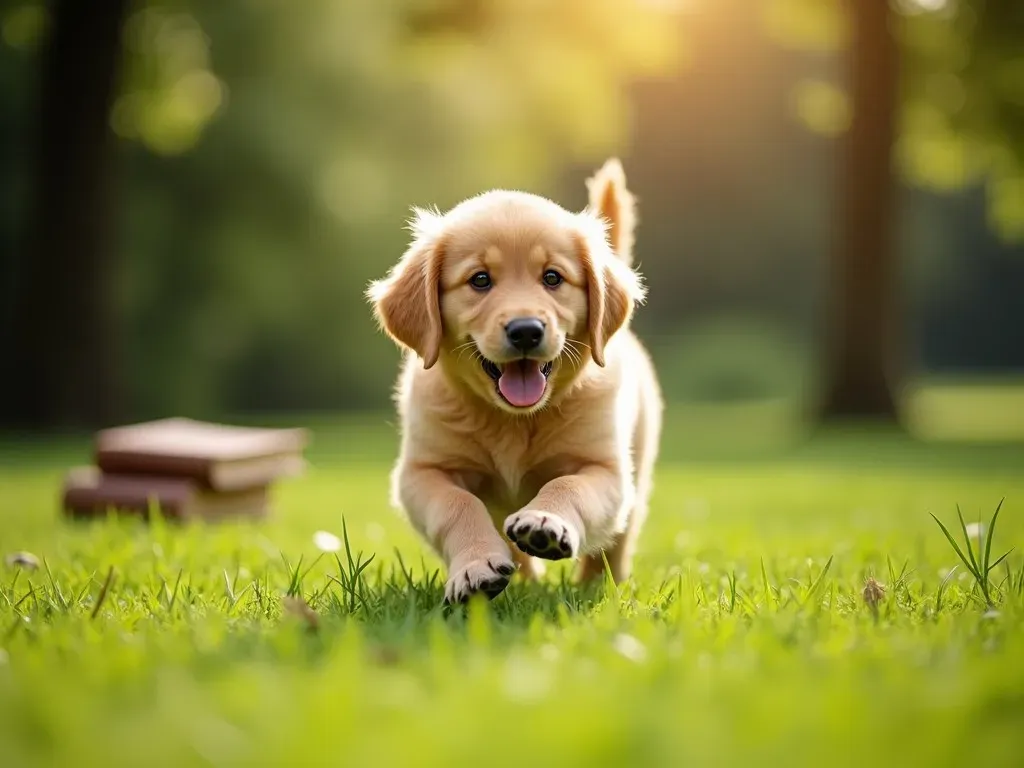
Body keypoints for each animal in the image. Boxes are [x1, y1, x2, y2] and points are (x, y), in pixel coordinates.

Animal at [368, 159, 663, 606]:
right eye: (480, 280)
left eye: (553, 278)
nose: (526, 331)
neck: (511, 419)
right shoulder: (423, 472)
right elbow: (458, 505)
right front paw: (475, 568)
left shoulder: (604, 467)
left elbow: (568, 484)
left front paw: (545, 521)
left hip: (637, 465)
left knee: (617, 541)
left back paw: (596, 583)